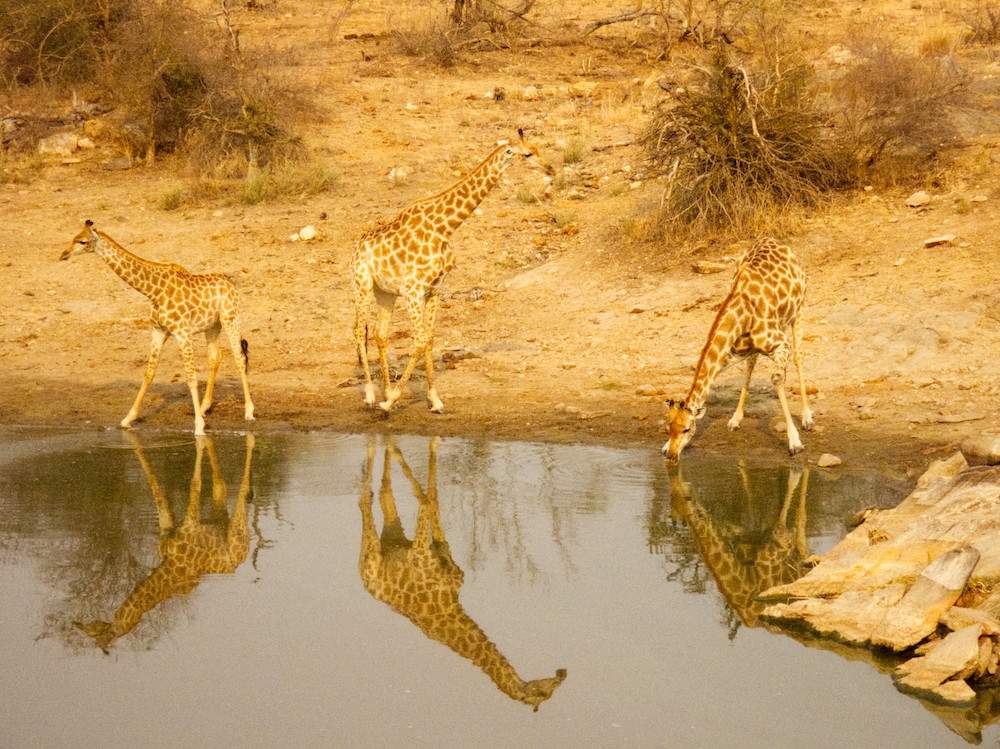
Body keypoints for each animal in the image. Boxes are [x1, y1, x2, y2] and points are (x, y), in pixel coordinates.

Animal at [60, 218, 254, 432]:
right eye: (74, 238)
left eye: (83, 242)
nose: (63, 255)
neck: (153, 291)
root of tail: (232, 285)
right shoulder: (158, 332)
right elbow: (149, 373)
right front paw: (128, 419)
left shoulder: (182, 332)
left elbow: (191, 376)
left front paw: (198, 426)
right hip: (212, 326)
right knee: (215, 357)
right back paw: (204, 407)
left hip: (231, 318)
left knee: (239, 357)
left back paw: (248, 411)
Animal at [350, 127, 556, 410]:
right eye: (527, 154)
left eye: (538, 149)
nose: (551, 168)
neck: (444, 229)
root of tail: (356, 249)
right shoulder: (414, 290)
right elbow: (420, 339)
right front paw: (392, 400)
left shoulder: (434, 290)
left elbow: (429, 339)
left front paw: (433, 399)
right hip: (362, 284)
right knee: (360, 331)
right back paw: (372, 395)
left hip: (385, 292)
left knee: (380, 334)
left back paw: (385, 389)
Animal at [360, 432, 568, 708]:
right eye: (544, 694)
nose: (562, 673)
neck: (450, 603)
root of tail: (366, 582)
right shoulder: (420, 552)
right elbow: (425, 499)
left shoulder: (441, 550)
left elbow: (432, 497)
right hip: (371, 556)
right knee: (367, 503)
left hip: (392, 536)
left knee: (386, 493)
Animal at [664, 238, 812, 462]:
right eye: (668, 428)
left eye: (687, 429)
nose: (672, 456)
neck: (742, 312)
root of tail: (774, 241)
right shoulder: (731, 353)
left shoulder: (782, 342)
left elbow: (777, 378)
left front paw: (795, 442)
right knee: (754, 364)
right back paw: (735, 419)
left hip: (800, 309)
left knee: (798, 357)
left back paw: (807, 418)